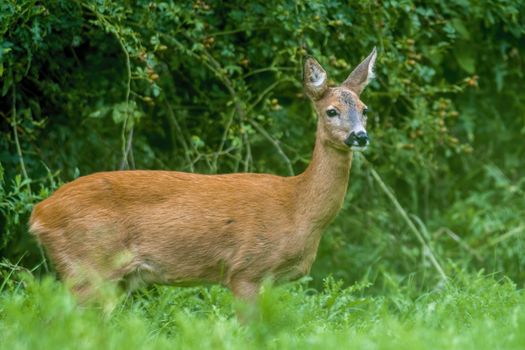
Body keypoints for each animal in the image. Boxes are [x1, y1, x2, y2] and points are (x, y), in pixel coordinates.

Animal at [28, 47, 376, 306]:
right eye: (331, 111)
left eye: (364, 108)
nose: (360, 136)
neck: (298, 208)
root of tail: (39, 214)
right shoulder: (246, 270)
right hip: (89, 265)